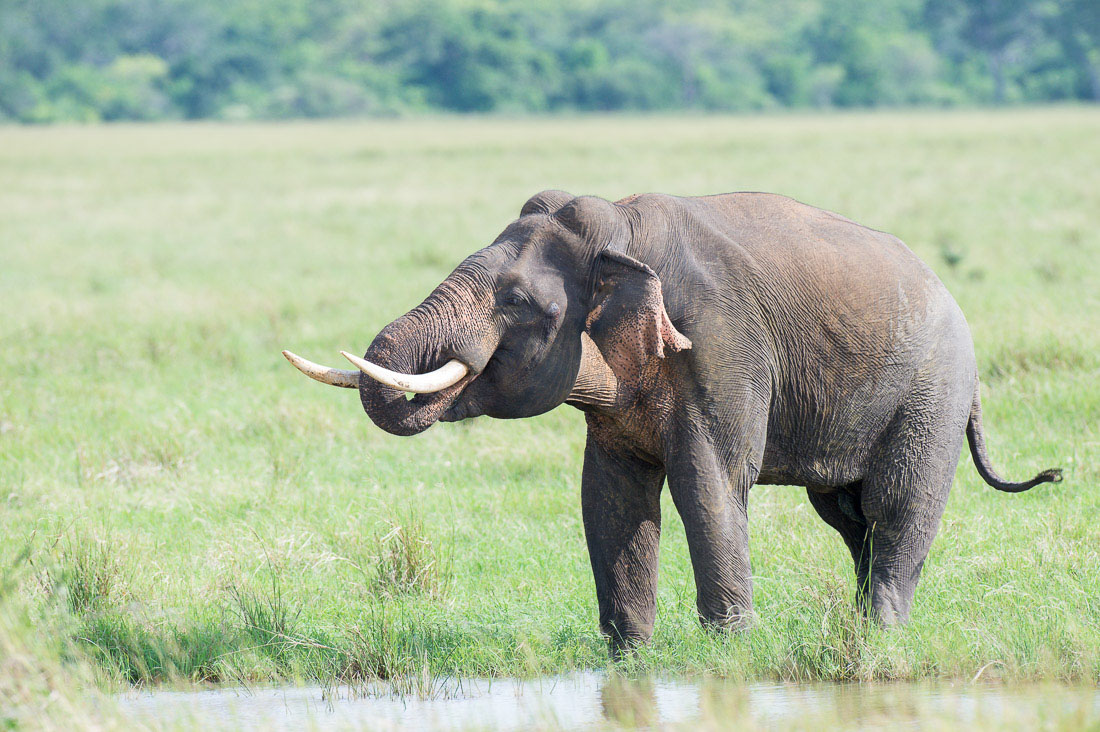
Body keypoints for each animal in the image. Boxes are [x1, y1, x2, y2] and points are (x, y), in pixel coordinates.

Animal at [283, 188, 1056, 651]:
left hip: (932, 392)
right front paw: (629, 656)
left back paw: (882, 639)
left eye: (518, 304)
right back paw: (862, 634)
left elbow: (707, 483)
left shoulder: (719, 344)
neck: (622, 233)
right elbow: (609, 495)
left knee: (897, 507)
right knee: (847, 515)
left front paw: (730, 653)